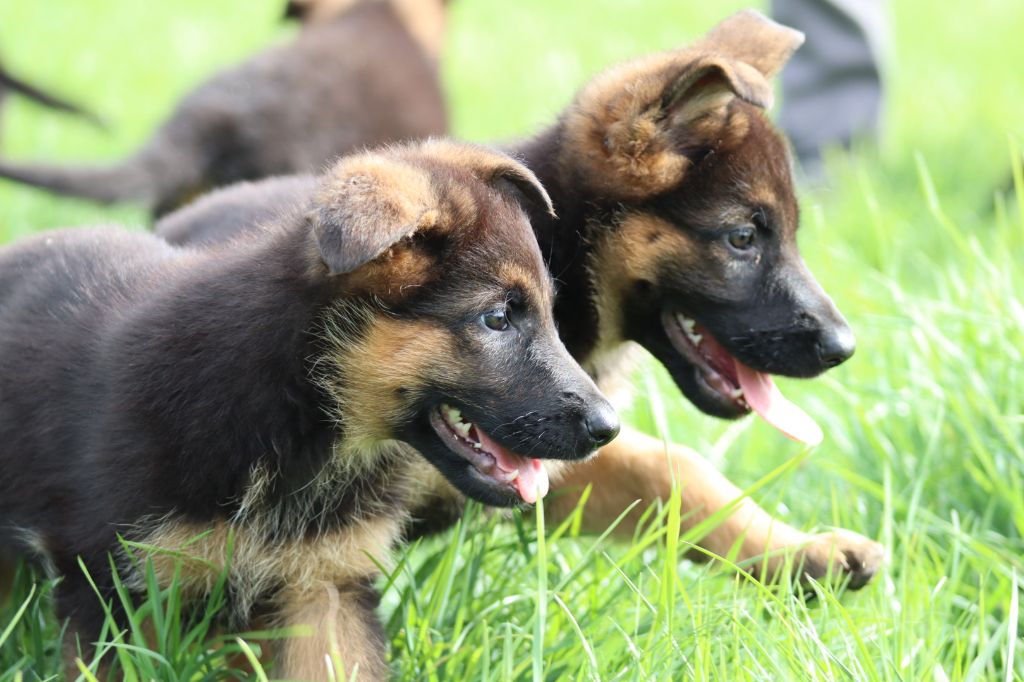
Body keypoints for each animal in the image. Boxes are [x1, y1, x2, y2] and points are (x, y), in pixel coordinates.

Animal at [0, 140, 614, 675]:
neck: (301, 411)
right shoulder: (111, 590)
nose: (608, 427)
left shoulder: (326, 586)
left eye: (549, 313)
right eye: (497, 318)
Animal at [155, 9, 884, 585]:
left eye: (790, 235)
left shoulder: (544, 465)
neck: (562, 256)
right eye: (742, 238)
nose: (845, 347)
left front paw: (803, 554)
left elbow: (676, 472)